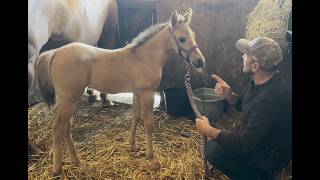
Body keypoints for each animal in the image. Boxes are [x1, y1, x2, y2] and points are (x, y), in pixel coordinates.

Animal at [35, 8, 205, 177]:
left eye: (194, 36)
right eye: (182, 39)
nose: (200, 61)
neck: (145, 58)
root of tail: (55, 52)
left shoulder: (137, 93)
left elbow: (135, 117)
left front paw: (133, 146)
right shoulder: (147, 93)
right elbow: (149, 123)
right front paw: (151, 156)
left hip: (68, 100)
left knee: (67, 128)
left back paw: (76, 161)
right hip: (68, 100)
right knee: (58, 128)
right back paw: (57, 170)